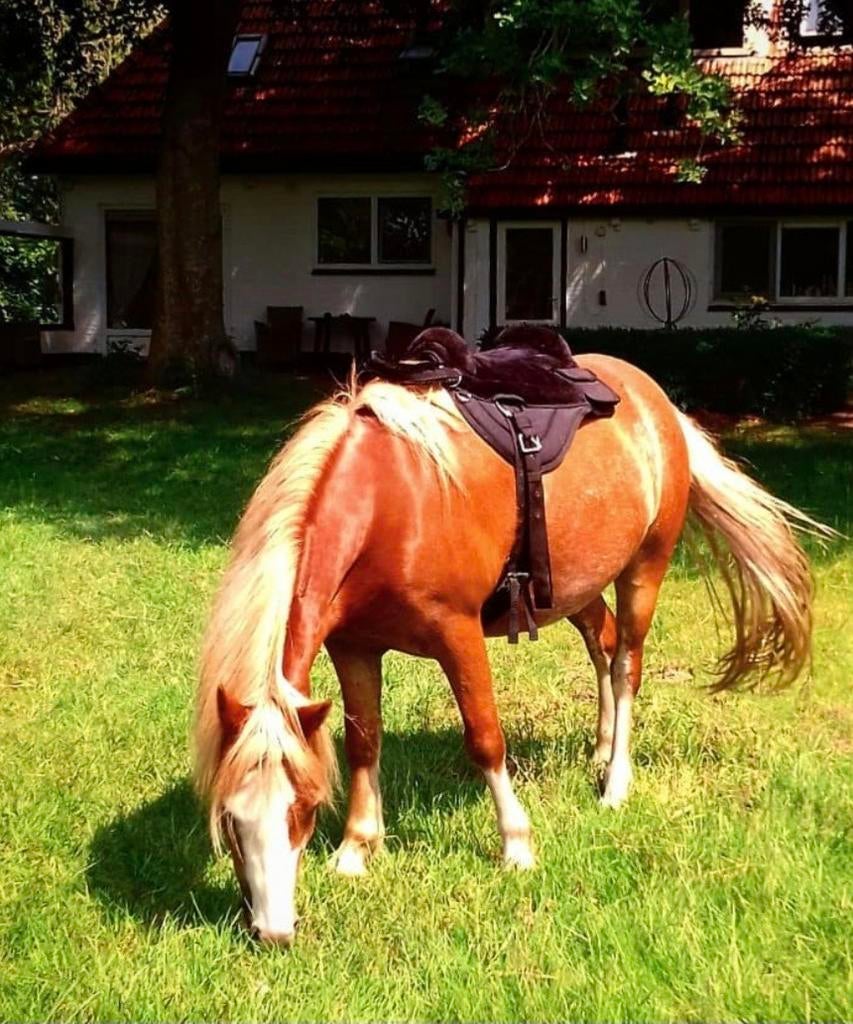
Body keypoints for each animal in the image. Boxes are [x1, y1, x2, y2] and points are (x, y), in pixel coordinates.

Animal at [193, 343, 818, 947]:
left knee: (626, 666)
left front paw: (517, 845)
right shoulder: (353, 647)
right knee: (601, 644)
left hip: (645, 569)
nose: (273, 932)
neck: (387, 505)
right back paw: (598, 750)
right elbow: (362, 744)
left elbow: (486, 739)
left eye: (300, 808)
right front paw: (356, 849)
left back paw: (615, 782)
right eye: (229, 819)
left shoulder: (457, 633)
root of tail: (657, 401)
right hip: (571, 587)